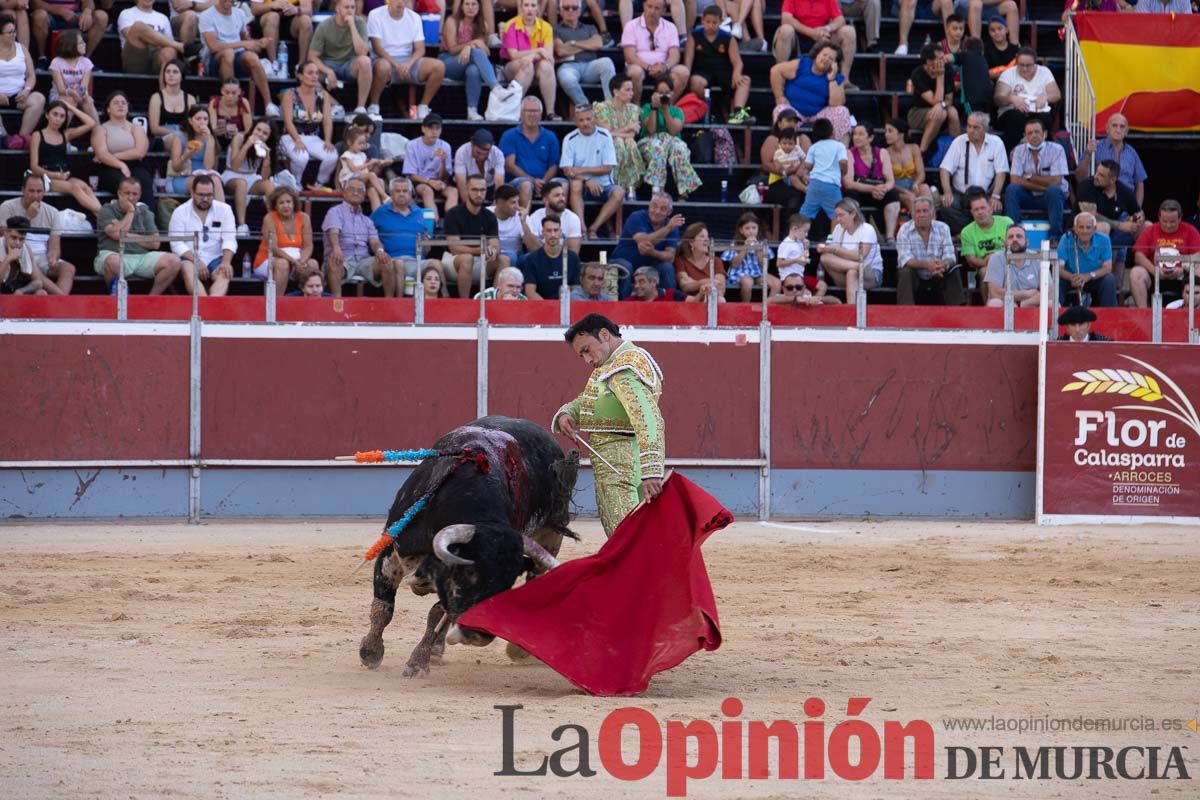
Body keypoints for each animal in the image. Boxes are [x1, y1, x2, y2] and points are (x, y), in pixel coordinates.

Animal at [357, 419, 578, 676]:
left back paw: (516, 650)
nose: (478, 635)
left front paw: (417, 662)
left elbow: (436, 613)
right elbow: (383, 608)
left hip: (550, 536)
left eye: (508, 582)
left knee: (535, 578)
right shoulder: (392, 550)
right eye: (468, 574)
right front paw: (370, 653)